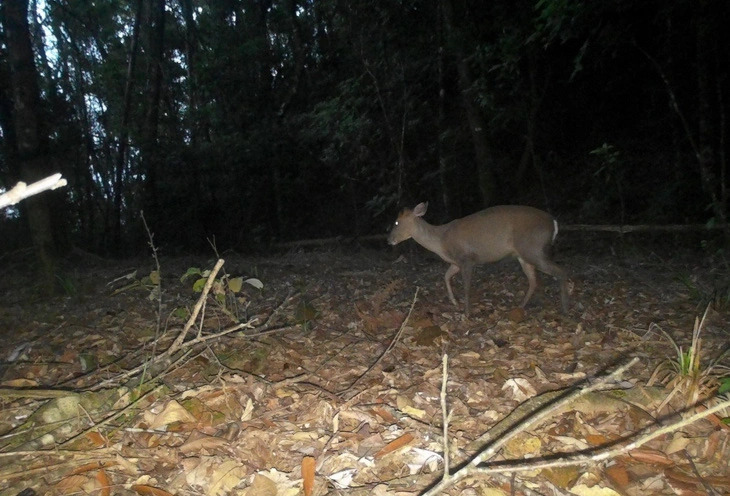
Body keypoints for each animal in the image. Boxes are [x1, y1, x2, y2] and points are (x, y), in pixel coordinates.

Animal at [386, 202, 568, 316]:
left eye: (396, 222)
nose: (389, 240)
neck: (441, 241)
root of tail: (554, 222)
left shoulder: (467, 258)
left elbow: (466, 287)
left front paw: (466, 313)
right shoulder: (456, 262)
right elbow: (445, 276)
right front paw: (455, 302)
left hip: (533, 248)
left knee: (561, 271)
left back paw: (566, 306)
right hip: (525, 255)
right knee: (534, 280)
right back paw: (520, 306)